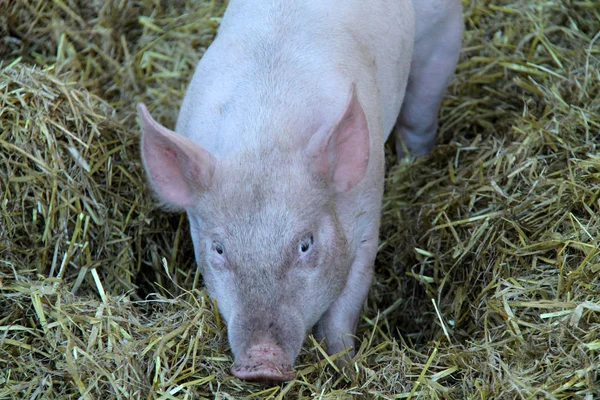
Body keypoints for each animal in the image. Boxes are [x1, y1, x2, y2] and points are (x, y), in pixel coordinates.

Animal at [137, 0, 464, 382]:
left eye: (305, 244)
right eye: (218, 248)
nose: (261, 362)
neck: (267, 133)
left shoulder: (367, 216)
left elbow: (345, 307)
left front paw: (345, 368)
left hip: (441, 32)